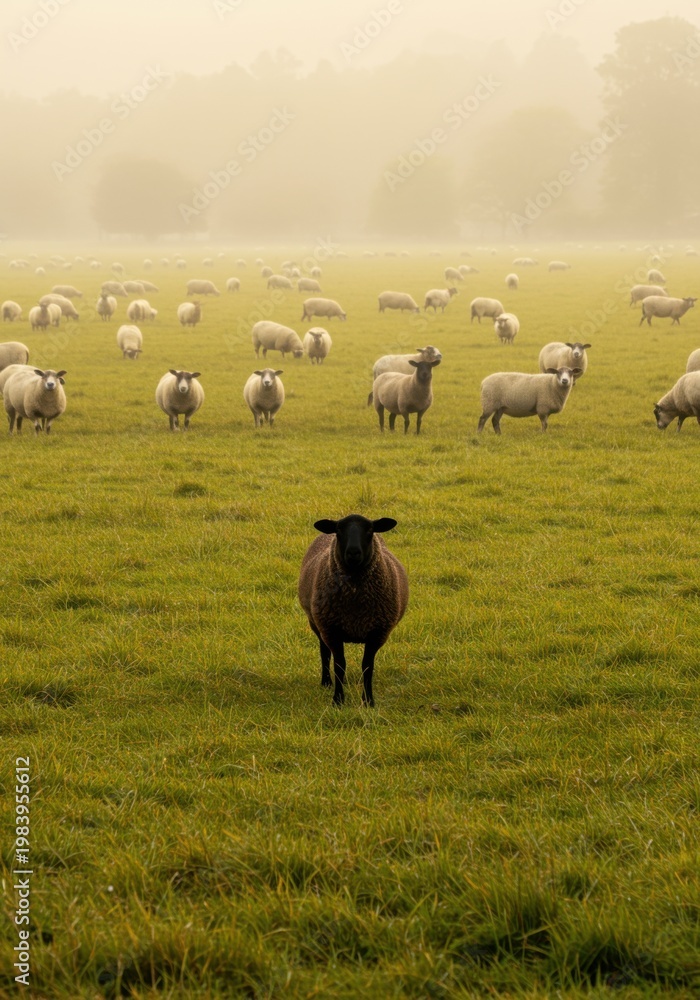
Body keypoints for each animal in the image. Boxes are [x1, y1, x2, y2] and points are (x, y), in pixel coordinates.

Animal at [298, 514, 408, 707]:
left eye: (370, 529)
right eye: (339, 530)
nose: (353, 552)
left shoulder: (377, 633)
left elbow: (367, 667)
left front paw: (368, 701)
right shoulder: (331, 630)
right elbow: (339, 665)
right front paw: (338, 700)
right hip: (316, 623)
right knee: (324, 653)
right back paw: (326, 682)